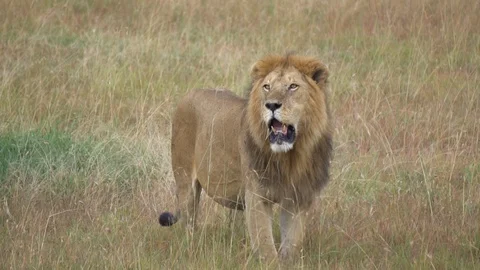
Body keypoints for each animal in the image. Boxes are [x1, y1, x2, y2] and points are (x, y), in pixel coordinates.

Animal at [159, 53, 332, 264]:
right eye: (267, 87)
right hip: (185, 181)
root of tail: (190, 93)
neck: (290, 157)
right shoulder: (257, 195)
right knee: (188, 222)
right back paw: (190, 249)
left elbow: (292, 244)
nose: (271, 104)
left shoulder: (297, 198)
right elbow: (266, 246)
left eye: (293, 86)